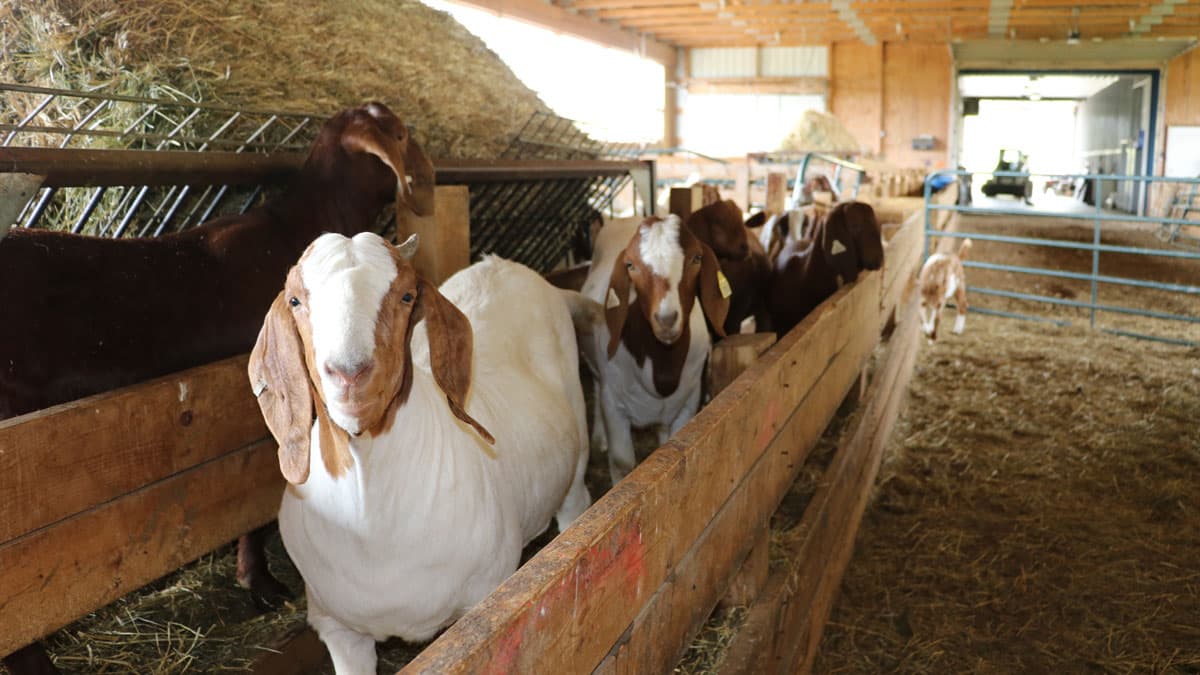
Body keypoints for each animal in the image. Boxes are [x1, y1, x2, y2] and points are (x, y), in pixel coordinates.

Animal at [249, 233, 592, 674]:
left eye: (407, 295)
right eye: (295, 300)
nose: (348, 373)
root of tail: (501, 264)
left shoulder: (484, 602)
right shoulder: (339, 631)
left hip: (576, 461)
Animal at [581, 214, 730, 484]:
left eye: (696, 258)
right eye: (630, 265)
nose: (666, 319)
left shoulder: (688, 400)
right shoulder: (613, 403)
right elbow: (623, 462)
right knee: (596, 385)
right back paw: (598, 440)